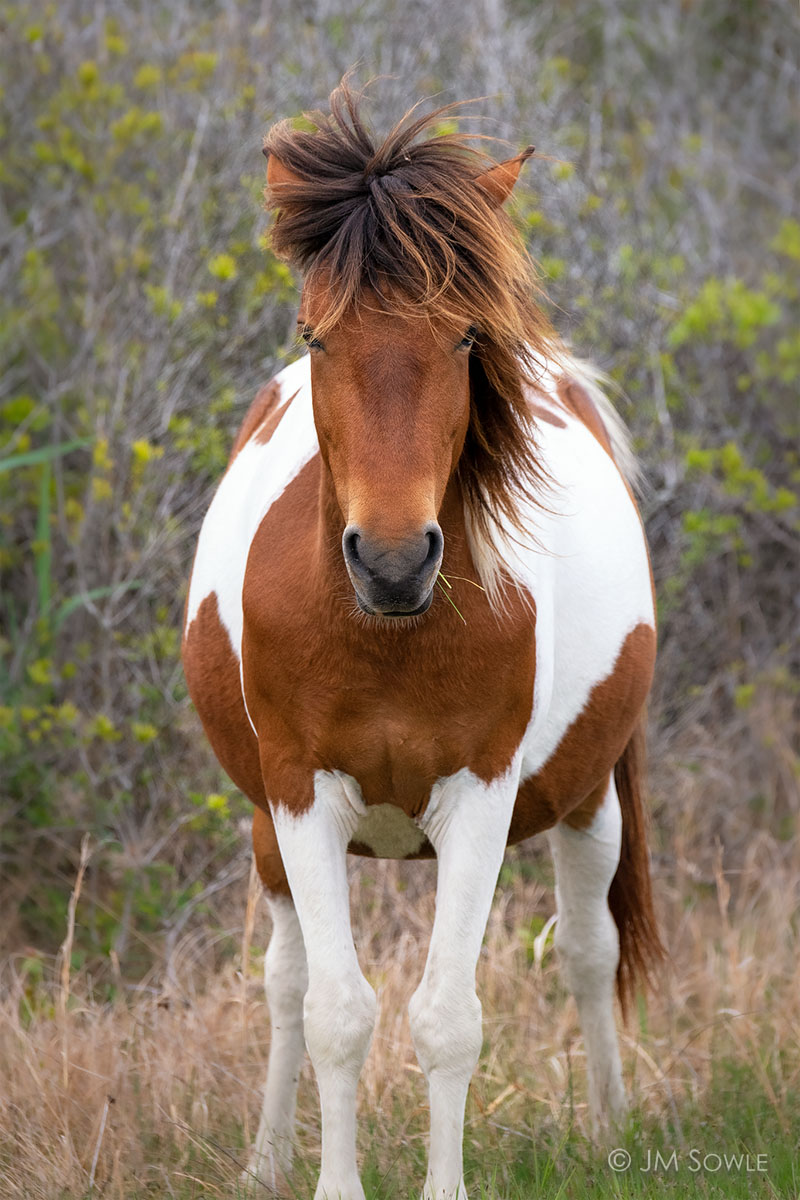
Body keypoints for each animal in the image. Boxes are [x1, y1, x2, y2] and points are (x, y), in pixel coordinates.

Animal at [182, 81, 663, 1200]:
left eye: (462, 339)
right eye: (316, 336)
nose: (395, 563)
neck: (386, 641)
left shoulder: (480, 796)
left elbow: (447, 1020)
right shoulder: (300, 796)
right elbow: (334, 1013)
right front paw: (322, 1182)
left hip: (588, 797)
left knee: (588, 950)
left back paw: (611, 1132)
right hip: (268, 832)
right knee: (284, 981)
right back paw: (265, 1160)